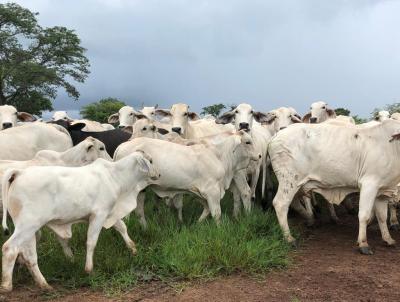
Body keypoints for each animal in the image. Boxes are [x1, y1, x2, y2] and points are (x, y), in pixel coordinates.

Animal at [0, 152, 159, 292]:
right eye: (150, 160)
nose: (158, 174)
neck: (115, 176)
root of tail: (19, 172)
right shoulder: (98, 214)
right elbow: (91, 242)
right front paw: (89, 269)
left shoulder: (109, 213)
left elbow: (122, 227)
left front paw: (133, 248)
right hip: (28, 225)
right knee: (10, 248)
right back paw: (7, 285)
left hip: (30, 230)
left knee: (29, 256)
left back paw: (43, 284)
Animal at [268, 120, 400, 255]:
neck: (392, 146)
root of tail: (276, 135)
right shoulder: (369, 184)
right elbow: (364, 215)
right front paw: (363, 244)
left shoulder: (383, 191)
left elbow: (382, 216)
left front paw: (388, 239)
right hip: (289, 180)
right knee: (280, 204)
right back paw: (289, 238)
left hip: (297, 185)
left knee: (294, 203)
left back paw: (310, 218)